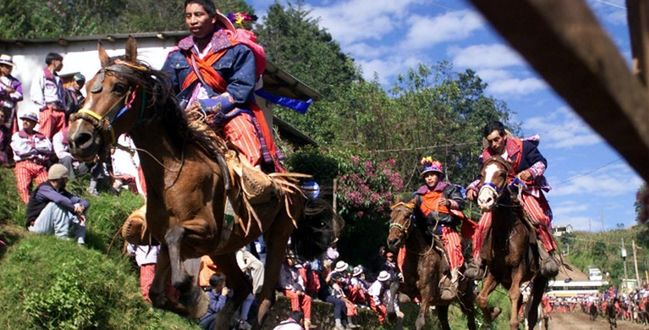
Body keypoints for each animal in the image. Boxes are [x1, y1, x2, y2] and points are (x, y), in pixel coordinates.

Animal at [66, 36, 342, 328]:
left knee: (264, 297)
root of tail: (294, 185)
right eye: (87, 87)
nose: (78, 138)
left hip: (279, 234)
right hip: (226, 248)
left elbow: (176, 248)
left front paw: (192, 296)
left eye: (119, 87)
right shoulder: (169, 240)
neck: (173, 170)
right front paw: (190, 301)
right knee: (242, 286)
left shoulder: (206, 230)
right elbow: (157, 292)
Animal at [384, 201, 476, 330]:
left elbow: (420, 322)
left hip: (466, 297)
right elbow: (394, 285)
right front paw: (391, 315)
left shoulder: (427, 293)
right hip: (442, 303)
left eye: (407, 216)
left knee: (471, 319)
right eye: (391, 216)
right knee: (444, 321)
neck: (419, 257)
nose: (392, 241)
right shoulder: (410, 289)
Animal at [474, 156, 544, 328]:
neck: (503, 236)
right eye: (481, 175)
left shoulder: (518, 268)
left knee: (532, 310)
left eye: (501, 174)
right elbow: (481, 298)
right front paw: (491, 314)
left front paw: (512, 322)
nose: (485, 201)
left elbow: (514, 295)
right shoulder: (495, 272)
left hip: (539, 280)